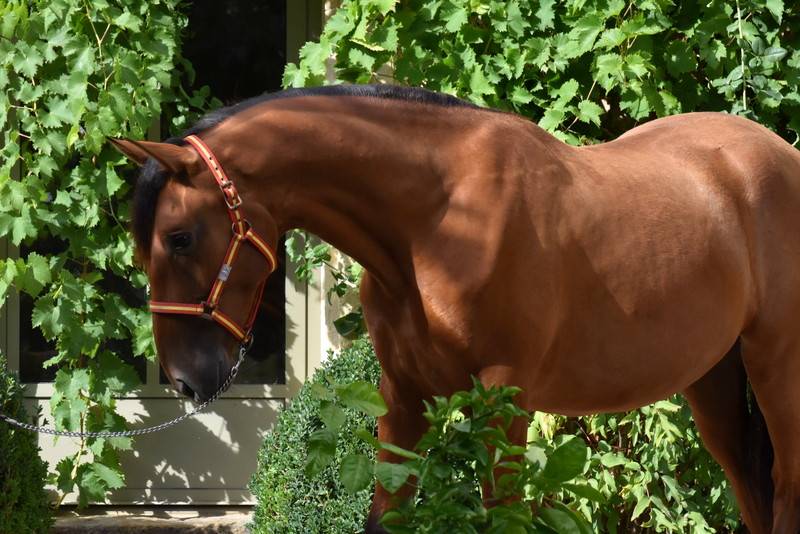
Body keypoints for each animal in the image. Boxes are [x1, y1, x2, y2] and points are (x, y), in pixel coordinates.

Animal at [111, 84, 800, 534]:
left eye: (179, 237)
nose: (185, 380)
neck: (439, 215)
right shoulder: (404, 399)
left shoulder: (503, 399)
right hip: (714, 383)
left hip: (776, 370)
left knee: (786, 492)